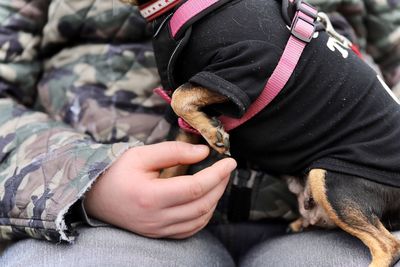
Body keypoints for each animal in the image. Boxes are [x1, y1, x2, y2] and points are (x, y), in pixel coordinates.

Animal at [121, 0, 400, 266]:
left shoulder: (248, 65)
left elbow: (180, 96)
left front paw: (214, 134)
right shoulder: (188, 124)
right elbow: (172, 168)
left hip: (333, 180)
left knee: (389, 246)